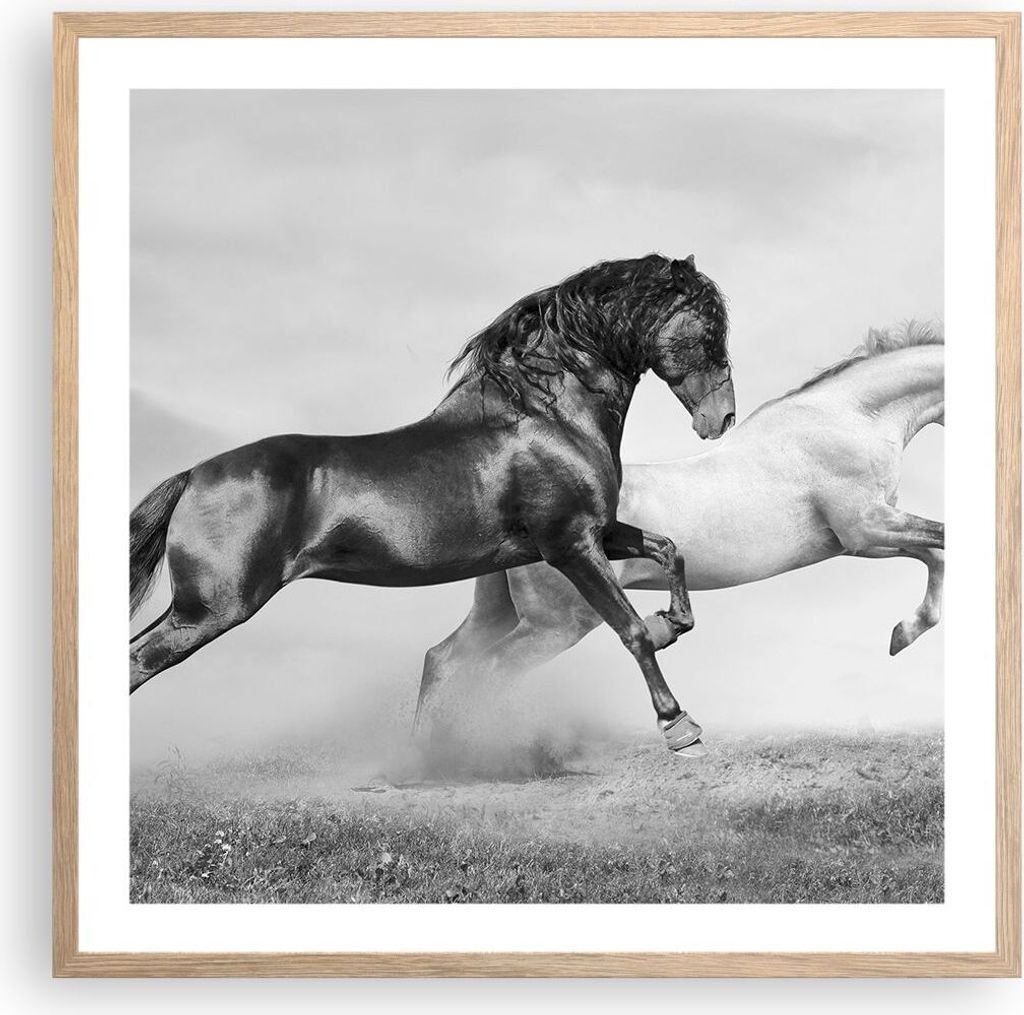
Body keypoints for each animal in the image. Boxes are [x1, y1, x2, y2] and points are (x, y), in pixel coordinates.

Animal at [129, 253, 736, 753]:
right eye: (708, 329)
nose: (722, 418)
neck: (547, 418)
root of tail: (193, 475)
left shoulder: (600, 532)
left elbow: (669, 549)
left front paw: (672, 621)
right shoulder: (570, 545)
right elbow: (630, 630)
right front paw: (678, 725)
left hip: (197, 609)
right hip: (212, 609)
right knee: (138, 661)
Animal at [415, 322, 943, 754]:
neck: (850, 418)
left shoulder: (871, 534)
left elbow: (934, 555)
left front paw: (903, 634)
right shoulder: (865, 530)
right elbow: (942, 543)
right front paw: (905, 632)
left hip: (500, 612)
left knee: (443, 659)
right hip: (555, 626)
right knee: (487, 672)